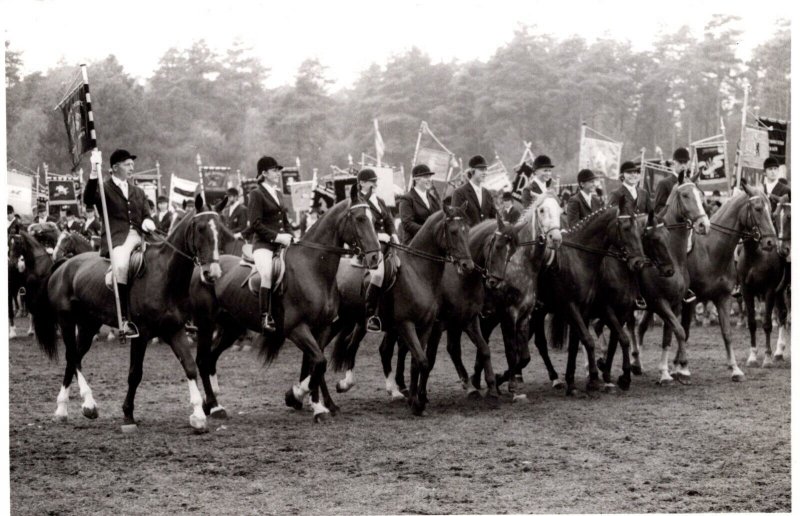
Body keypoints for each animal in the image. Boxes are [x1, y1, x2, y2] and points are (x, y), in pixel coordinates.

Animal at [30, 196, 222, 434]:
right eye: (201, 228)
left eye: (221, 229)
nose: (212, 273)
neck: (165, 275)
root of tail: (63, 266)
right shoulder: (141, 334)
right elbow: (135, 374)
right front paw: (128, 415)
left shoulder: (174, 329)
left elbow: (189, 366)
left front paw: (198, 415)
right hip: (66, 321)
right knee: (72, 356)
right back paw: (79, 405)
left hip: (88, 324)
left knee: (75, 357)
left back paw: (72, 408)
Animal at [188, 189, 382, 424]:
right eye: (360, 219)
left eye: (374, 220)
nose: (376, 257)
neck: (312, 269)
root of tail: (203, 267)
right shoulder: (296, 329)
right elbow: (319, 362)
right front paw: (303, 397)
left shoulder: (322, 328)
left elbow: (316, 364)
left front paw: (317, 403)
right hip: (205, 324)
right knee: (202, 359)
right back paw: (215, 406)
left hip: (232, 327)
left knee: (211, 358)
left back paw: (210, 403)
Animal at [326, 205, 472, 416]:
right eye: (453, 232)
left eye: (467, 230)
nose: (468, 265)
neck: (418, 273)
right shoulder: (406, 325)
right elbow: (422, 361)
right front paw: (417, 403)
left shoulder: (425, 327)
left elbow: (418, 363)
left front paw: (414, 399)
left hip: (357, 321)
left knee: (351, 345)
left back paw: (351, 385)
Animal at [336, 212, 520, 402]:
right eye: (497, 246)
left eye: (512, 251)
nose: (495, 281)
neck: (459, 280)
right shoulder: (438, 325)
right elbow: (432, 357)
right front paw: (424, 393)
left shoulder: (467, 320)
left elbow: (483, 349)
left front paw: (490, 387)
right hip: (364, 321)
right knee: (353, 344)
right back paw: (349, 383)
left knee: (386, 350)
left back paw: (396, 389)